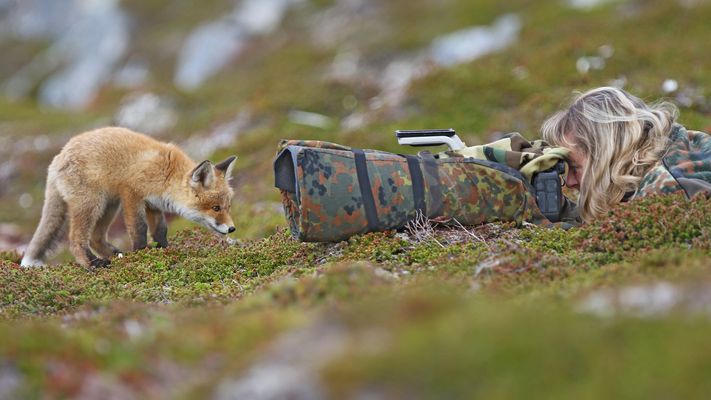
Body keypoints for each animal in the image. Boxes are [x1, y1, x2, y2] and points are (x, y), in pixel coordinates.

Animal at [20, 127, 237, 268]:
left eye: (228, 207)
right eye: (216, 208)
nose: (232, 228)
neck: (166, 173)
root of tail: (57, 158)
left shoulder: (153, 204)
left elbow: (160, 230)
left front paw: (164, 250)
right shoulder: (131, 194)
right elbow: (139, 229)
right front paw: (141, 254)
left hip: (108, 206)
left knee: (96, 238)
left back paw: (117, 255)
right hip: (92, 205)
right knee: (76, 239)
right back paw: (92, 264)